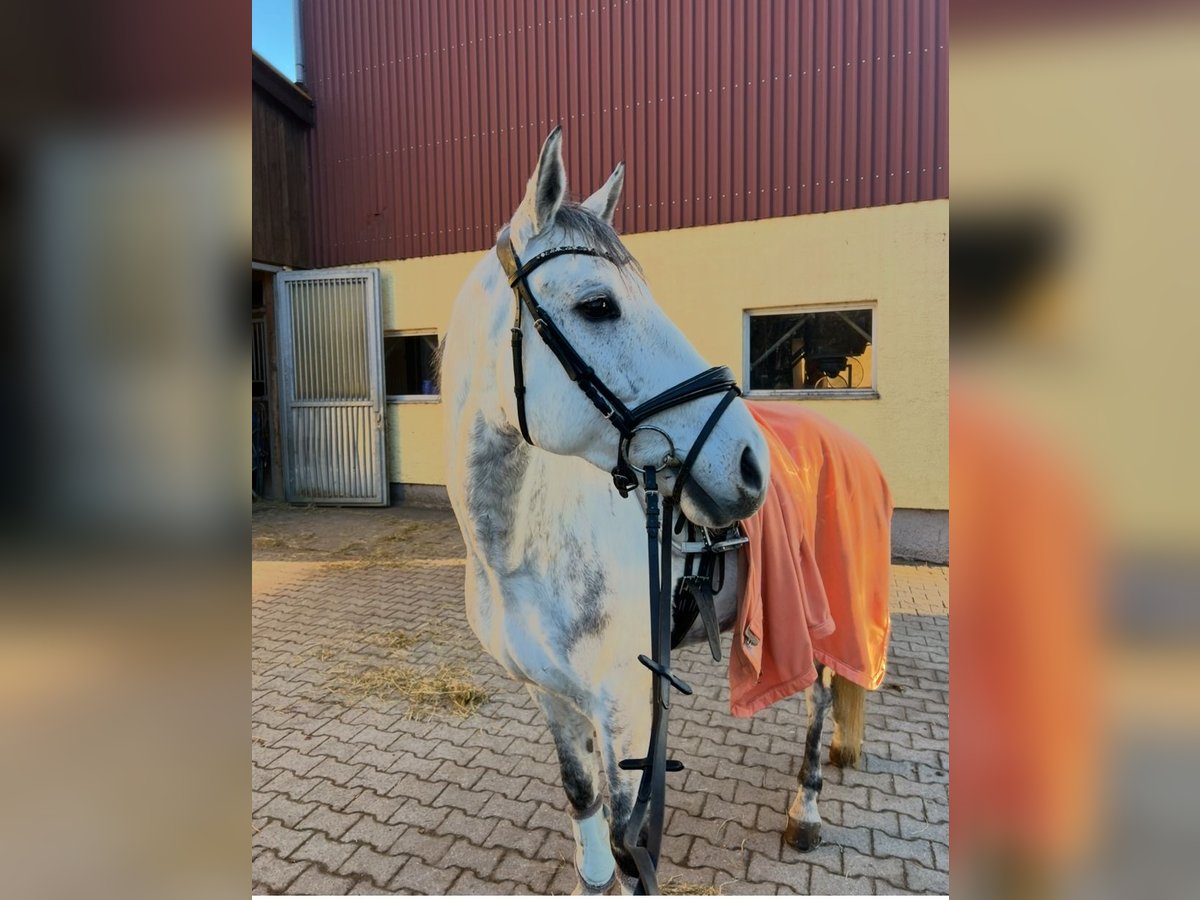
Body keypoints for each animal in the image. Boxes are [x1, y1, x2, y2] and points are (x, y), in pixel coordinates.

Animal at [443, 128, 867, 894]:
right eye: (598, 306)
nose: (749, 464)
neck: (522, 551)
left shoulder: (624, 711)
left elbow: (628, 844)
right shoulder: (552, 702)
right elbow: (584, 814)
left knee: (820, 699)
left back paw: (807, 810)